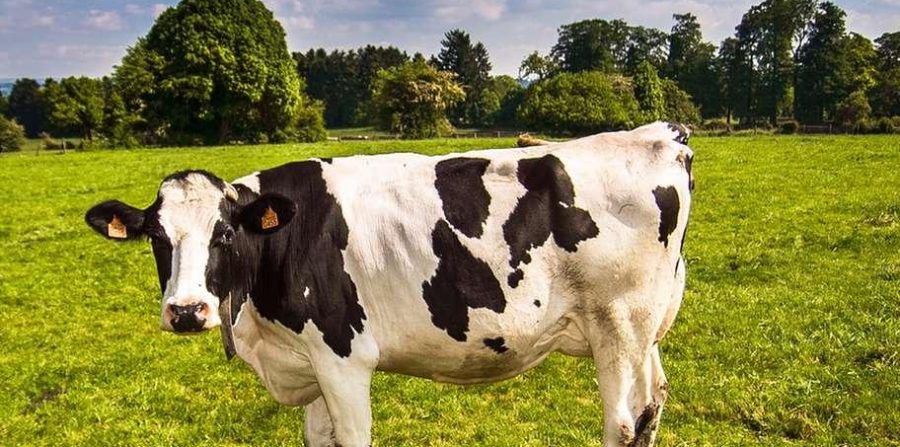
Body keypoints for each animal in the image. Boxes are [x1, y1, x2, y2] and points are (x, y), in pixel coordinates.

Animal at [84, 122, 693, 447]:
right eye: (156, 237)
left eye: (225, 233)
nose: (187, 311)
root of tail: (661, 134)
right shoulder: (309, 363)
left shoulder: (342, 357)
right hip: (644, 332)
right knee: (653, 406)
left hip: (618, 325)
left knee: (624, 424)